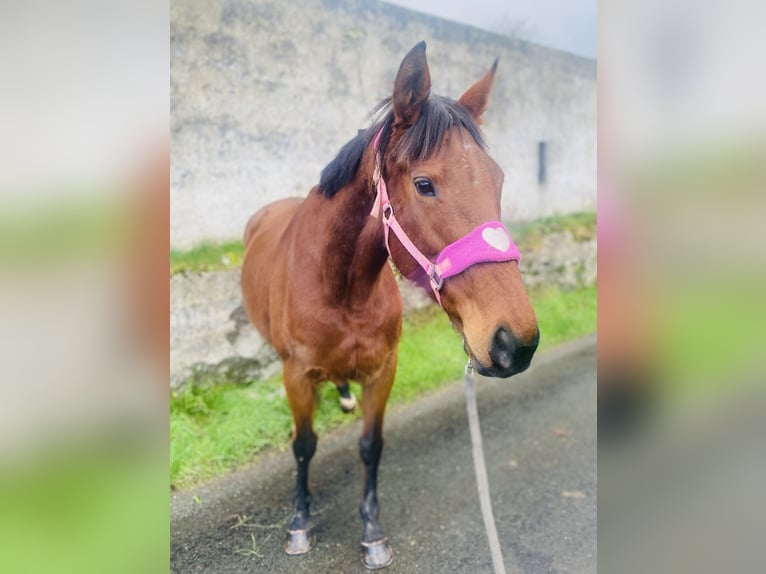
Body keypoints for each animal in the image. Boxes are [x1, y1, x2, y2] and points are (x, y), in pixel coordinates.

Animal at [242, 41, 540, 572]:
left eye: (498, 180)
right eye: (424, 184)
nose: (516, 342)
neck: (340, 288)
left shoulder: (383, 370)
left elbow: (371, 445)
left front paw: (372, 531)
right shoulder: (296, 375)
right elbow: (303, 446)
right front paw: (299, 523)